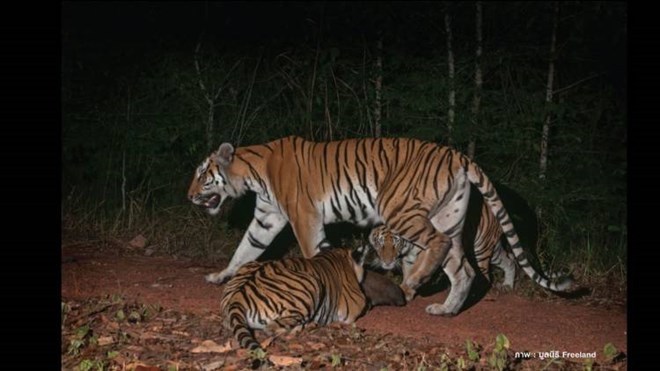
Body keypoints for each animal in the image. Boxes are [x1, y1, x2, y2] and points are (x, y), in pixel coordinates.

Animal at [187, 137, 572, 316]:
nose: (189, 195)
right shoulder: (267, 218)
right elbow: (245, 249)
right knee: (462, 268)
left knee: (438, 245)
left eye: (203, 175)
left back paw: (414, 282)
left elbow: (313, 252)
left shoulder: (303, 217)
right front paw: (220, 276)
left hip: (401, 208)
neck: (253, 173)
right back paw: (445, 309)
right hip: (449, 217)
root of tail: (459, 155)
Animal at [219, 247, 402, 352]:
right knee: (273, 328)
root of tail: (239, 295)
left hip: (249, 265)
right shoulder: (355, 305)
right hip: (312, 284)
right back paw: (311, 325)